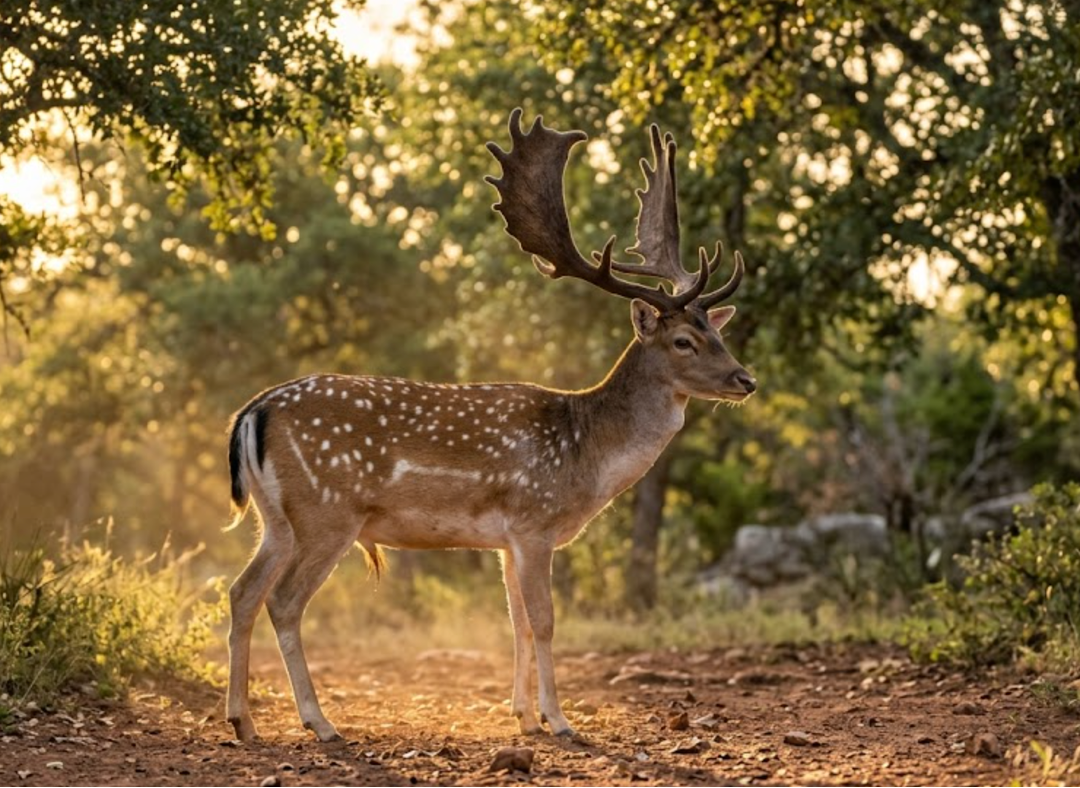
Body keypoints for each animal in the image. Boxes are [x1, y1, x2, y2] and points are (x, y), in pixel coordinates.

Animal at [224, 109, 757, 743]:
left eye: (718, 330)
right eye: (683, 341)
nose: (745, 379)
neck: (585, 456)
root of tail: (252, 411)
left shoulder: (506, 540)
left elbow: (516, 622)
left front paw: (523, 716)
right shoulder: (533, 521)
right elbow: (545, 621)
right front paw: (559, 720)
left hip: (276, 518)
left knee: (240, 591)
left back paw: (243, 721)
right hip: (327, 511)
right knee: (283, 601)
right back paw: (319, 721)